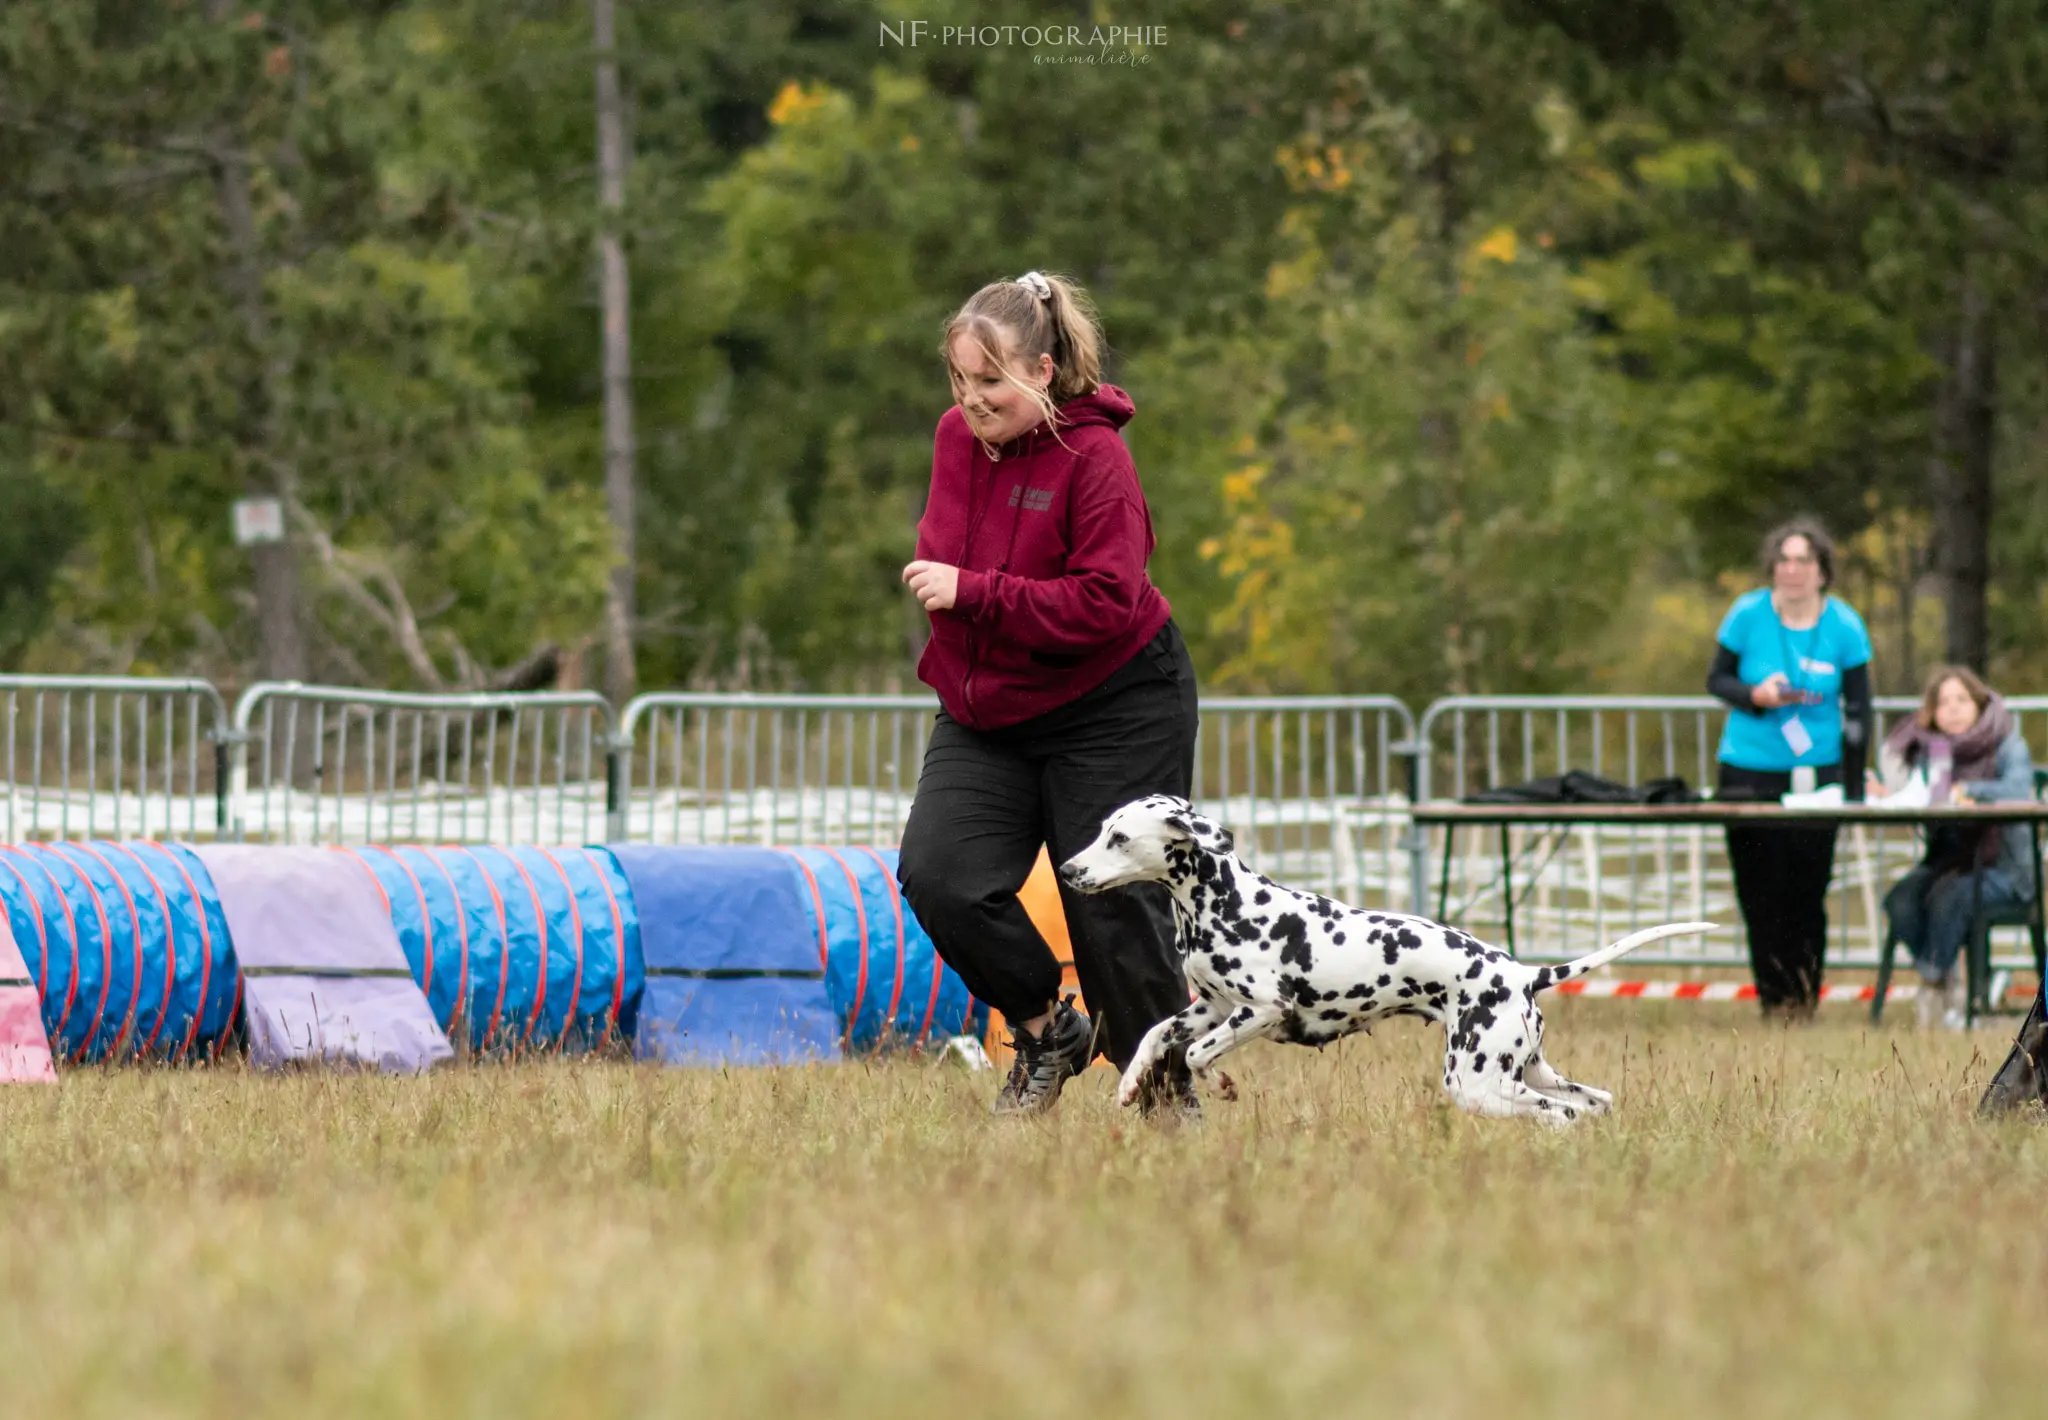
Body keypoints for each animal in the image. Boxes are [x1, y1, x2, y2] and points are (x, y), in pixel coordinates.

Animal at [1056, 790, 1712, 1122]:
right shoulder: (1212, 1007)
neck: (1227, 903)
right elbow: (1155, 1036)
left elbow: (1196, 1056)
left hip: (1475, 1081)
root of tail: (1523, 972)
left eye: (1119, 838)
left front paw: (1221, 1084)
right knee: (1593, 1104)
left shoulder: (1261, 1011)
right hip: (1525, 1069)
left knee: (1561, 1114)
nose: (1066, 869)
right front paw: (1130, 1085)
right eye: (1104, 828)